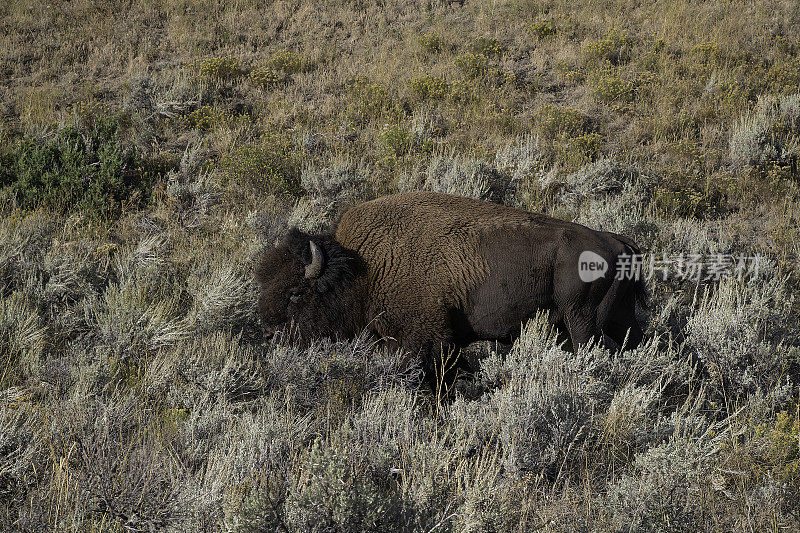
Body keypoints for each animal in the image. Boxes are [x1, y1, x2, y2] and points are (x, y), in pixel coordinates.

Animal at [260, 191, 648, 370]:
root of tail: (617, 241)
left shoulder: (425, 338)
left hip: (582, 322)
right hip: (616, 320)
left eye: (295, 293)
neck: (364, 266)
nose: (268, 334)